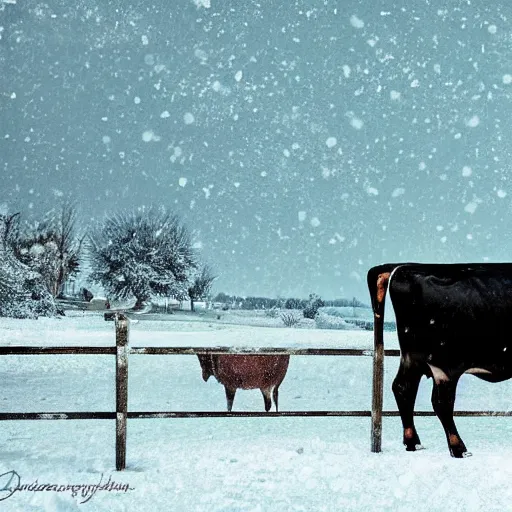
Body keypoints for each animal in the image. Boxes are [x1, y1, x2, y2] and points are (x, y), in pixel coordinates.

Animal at [370, 262, 512, 458]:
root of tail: (403, 267)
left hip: (412, 358)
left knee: (403, 388)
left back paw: (413, 442)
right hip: (444, 363)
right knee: (441, 402)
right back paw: (459, 448)